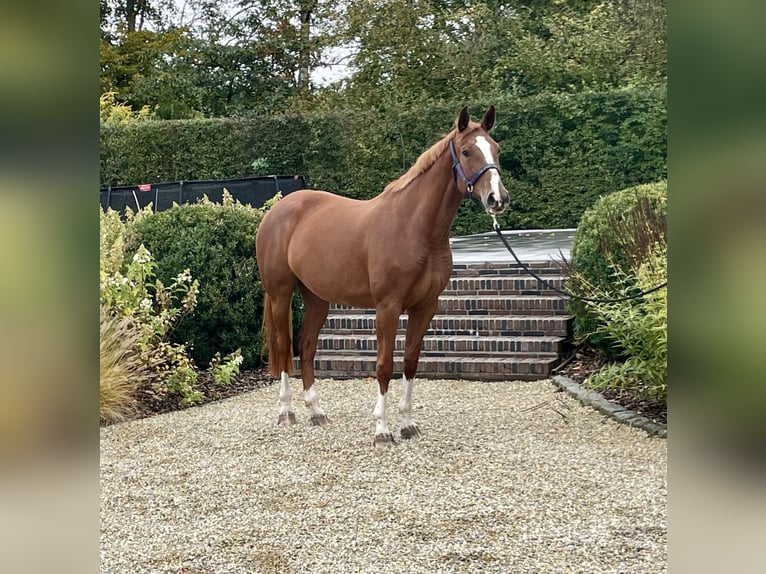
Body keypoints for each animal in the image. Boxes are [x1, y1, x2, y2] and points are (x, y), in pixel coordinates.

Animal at [256, 108, 510, 450]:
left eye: (496, 149)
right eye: (468, 151)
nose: (498, 199)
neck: (414, 227)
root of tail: (276, 210)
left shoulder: (426, 307)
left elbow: (411, 362)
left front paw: (407, 424)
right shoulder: (387, 307)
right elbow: (384, 365)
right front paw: (382, 431)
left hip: (317, 298)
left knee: (306, 345)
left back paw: (316, 412)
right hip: (280, 293)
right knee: (284, 347)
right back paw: (286, 413)